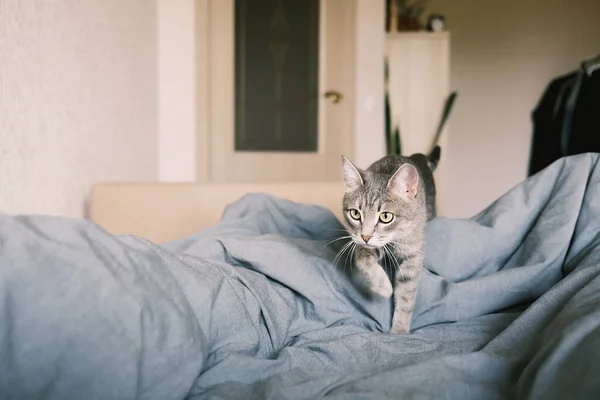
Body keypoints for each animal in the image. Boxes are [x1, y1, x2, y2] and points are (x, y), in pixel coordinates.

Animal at [342, 145, 440, 332]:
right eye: (355, 214)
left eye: (386, 217)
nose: (366, 236)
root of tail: (417, 156)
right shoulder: (366, 244)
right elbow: (362, 259)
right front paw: (382, 285)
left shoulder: (413, 257)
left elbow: (406, 296)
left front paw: (399, 330)